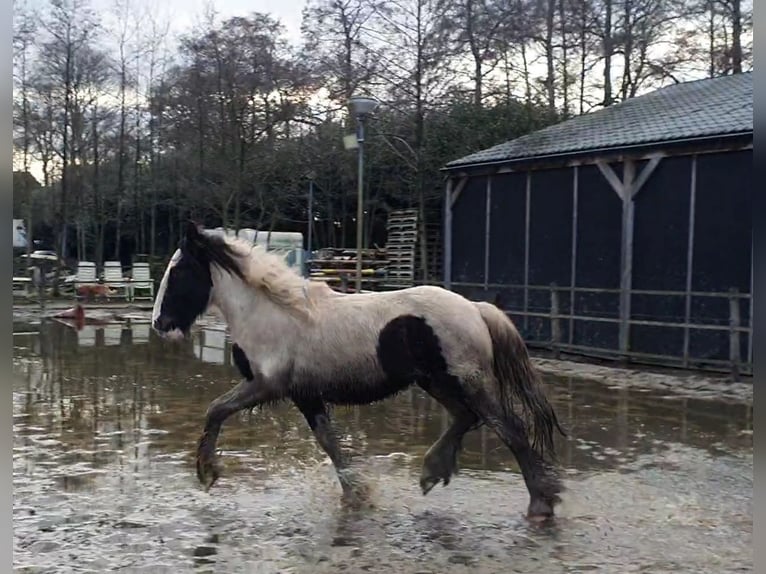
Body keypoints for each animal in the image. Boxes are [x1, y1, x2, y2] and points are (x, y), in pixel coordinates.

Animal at [153, 222, 568, 520]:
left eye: (179, 271)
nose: (160, 323)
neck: (273, 315)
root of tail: (476, 308)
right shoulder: (304, 395)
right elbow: (329, 443)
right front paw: (357, 494)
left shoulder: (268, 385)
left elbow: (216, 410)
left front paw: (207, 471)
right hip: (437, 382)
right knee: (466, 418)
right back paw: (432, 472)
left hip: (468, 382)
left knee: (508, 428)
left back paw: (541, 504)